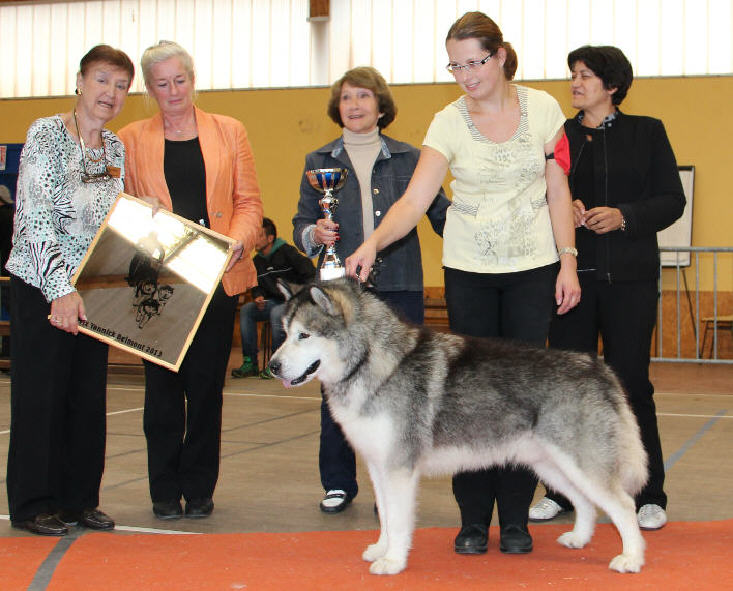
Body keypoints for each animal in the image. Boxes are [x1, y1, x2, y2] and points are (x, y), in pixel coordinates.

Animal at [268, 280, 648, 576]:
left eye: (304, 335)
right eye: (285, 333)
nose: (272, 366)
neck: (372, 362)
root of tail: (596, 366)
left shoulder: (399, 469)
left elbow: (400, 520)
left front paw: (393, 561)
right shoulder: (378, 466)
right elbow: (387, 518)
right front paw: (381, 549)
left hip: (581, 463)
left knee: (623, 505)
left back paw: (631, 558)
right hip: (551, 464)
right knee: (585, 502)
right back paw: (579, 538)